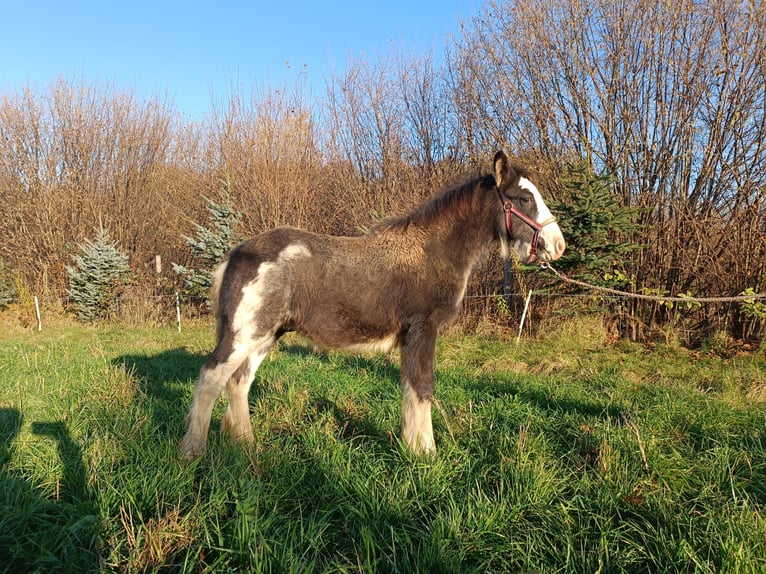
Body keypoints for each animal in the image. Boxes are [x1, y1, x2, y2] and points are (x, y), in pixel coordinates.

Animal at [178, 151, 564, 462]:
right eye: (524, 198)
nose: (557, 245)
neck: (433, 252)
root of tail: (235, 254)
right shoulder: (421, 331)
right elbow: (421, 388)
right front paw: (426, 453)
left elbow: (411, 389)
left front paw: (414, 447)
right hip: (243, 334)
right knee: (211, 377)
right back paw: (191, 452)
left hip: (264, 335)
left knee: (239, 382)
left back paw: (247, 445)